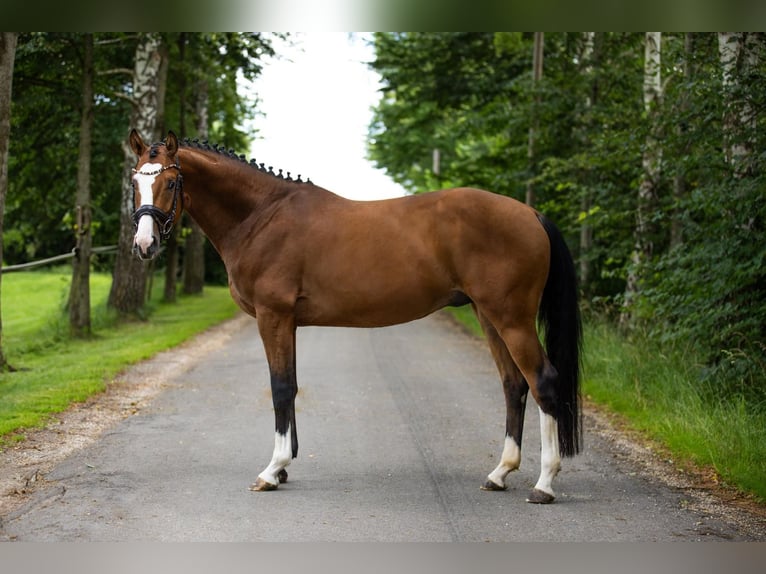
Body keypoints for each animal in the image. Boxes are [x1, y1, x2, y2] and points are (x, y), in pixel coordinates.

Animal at [129, 129, 584, 504]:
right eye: (135, 181)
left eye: (171, 182)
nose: (144, 245)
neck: (260, 216)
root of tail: (530, 214)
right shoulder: (287, 322)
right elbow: (290, 385)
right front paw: (285, 468)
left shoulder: (272, 316)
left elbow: (280, 388)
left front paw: (272, 471)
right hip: (489, 316)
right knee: (513, 385)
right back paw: (500, 473)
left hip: (512, 319)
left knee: (542, 382)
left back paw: (544, 484)